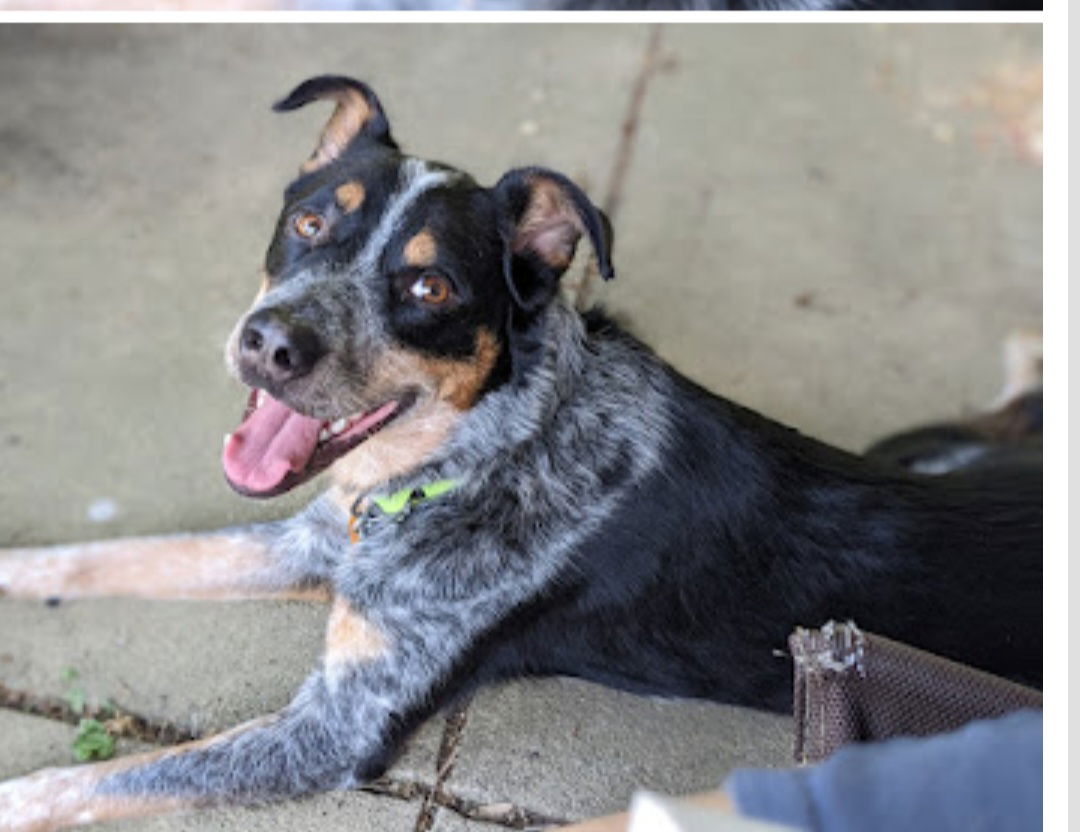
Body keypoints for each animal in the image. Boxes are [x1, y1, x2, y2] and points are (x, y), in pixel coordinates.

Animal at [0, 74, 1045, 825]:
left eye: (429, 287)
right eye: (309, 220)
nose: (268, 343)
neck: (484, 453)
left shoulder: (334, 730)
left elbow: (91, 780)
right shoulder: (310, 541)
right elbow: (122, 553)